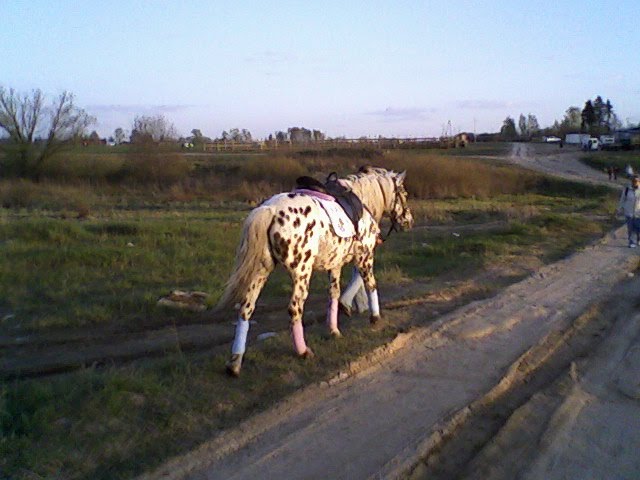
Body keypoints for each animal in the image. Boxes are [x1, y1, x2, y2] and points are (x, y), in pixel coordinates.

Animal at [218, 167, 412, 376]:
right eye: (404, 194)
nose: (408, 221)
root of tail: (269, 210)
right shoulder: (365, 256)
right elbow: (369, 283)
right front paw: (374, 317)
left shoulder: (335, 265)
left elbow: (334, 294)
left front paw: (335, 328)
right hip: (301, 273)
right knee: (295, 308)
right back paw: (303, 351)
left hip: (261, 271)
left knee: (246, 309)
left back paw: (235, 362)